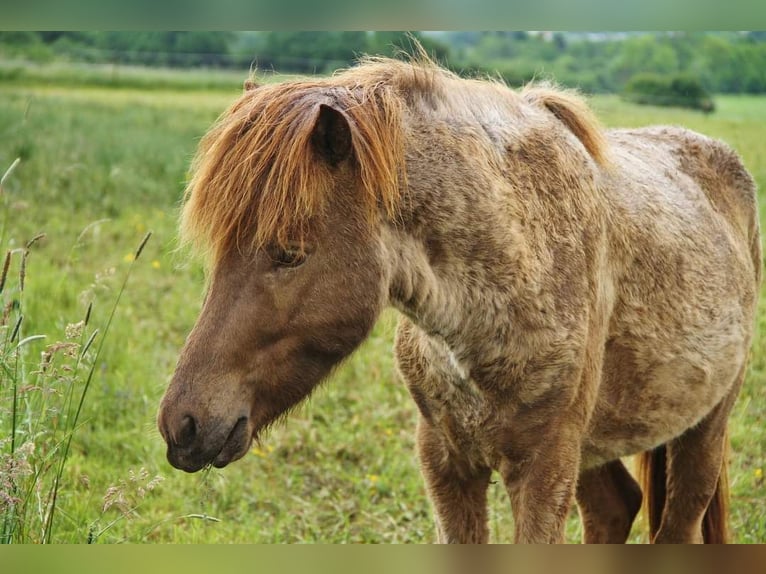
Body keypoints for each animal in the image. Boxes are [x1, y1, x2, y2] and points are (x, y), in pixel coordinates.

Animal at [156, 54, 760, 544]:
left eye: (288, 253)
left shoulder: (544, 471)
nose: (182, 425)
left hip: (704, 430)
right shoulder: (447, 462)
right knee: (614, 508)